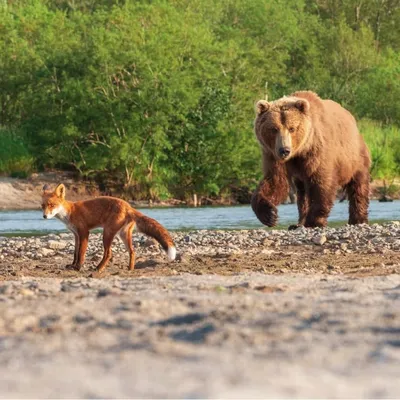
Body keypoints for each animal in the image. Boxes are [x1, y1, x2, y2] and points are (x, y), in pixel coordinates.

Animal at [41, 184, 177, 276]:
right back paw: (130, 269)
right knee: (132, 252)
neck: (69, 212)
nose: (44, 216)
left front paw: (78, 267)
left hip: (106, 233)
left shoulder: (84, 232)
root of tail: (129, 206)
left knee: (109, 253)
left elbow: (81, 253)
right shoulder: (76, 234)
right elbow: (75, 253)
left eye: (52, 205)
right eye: (43, 206)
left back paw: (98, 268)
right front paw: (73, 265)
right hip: (123, 235)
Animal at [252, 90, 370, 228]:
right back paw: (298, 223)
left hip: (354, 157)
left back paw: (358, 219)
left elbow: (321, 183)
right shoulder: (274, 156)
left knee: (358, 186)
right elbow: (275, 181)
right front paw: (269, 215)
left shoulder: (317, 151)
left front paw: (314, 221)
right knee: (302, 194)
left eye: (292, 128)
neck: (299, 152)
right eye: (274, 129)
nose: (284, 150)